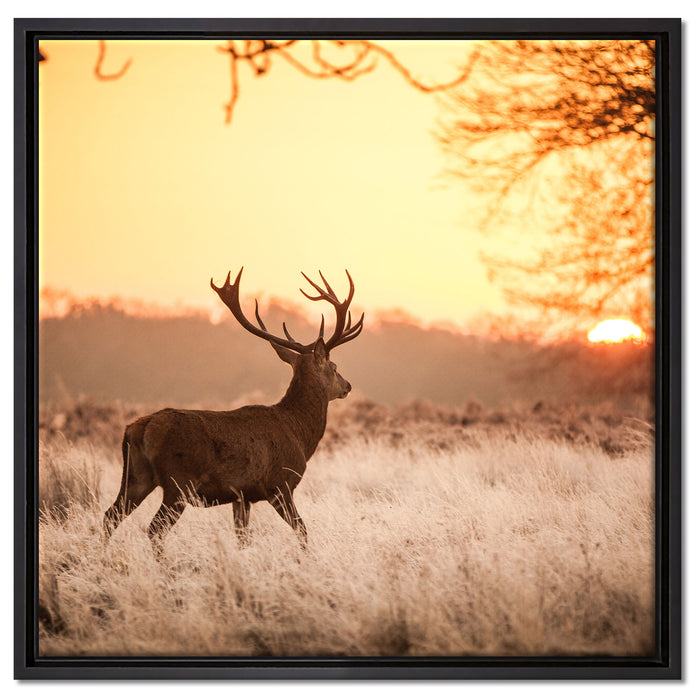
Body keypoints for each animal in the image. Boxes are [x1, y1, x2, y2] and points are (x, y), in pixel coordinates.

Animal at [102, 268, 363, 555]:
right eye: (334, 366)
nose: (348, 386)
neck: (298, 432)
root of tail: (139, 429)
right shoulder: (280, 484)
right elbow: (302, 530)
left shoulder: (241, 495)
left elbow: (242, 538)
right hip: (178, 482)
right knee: (154, 529)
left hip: (136, 477)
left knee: (110, 516)